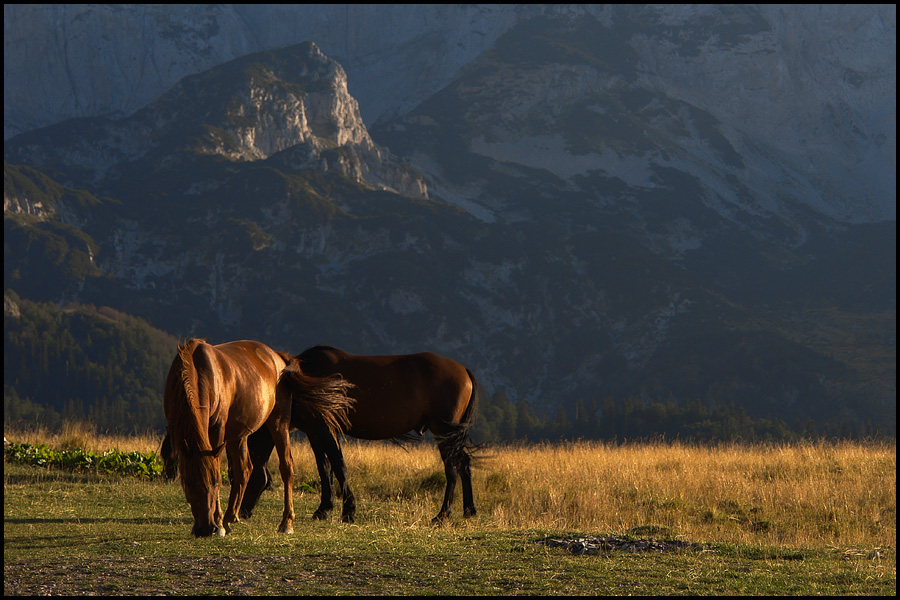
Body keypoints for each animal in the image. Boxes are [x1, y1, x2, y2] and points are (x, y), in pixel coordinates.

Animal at [163, 338, 354, 540]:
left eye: (216, 483)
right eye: (188, 484)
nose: (206, 529)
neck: (197, 369)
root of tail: (279, 358)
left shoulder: (217, 428)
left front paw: (218, 523)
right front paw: (217, 523)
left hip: (278, 423)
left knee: (286, 467)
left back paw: (286, 523)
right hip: (238, 435)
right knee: (244, 469)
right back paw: (230, 518)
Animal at [237, 346, 478, 524]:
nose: (241, 512)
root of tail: (464, 370)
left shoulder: (325, 428)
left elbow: (338, 465)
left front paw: (348, 511)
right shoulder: (315, 431)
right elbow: (325, 468)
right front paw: (324, 509)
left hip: (444, 432)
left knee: (452, 469)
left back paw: (443, 515)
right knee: (463, 463)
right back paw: (469, 510)